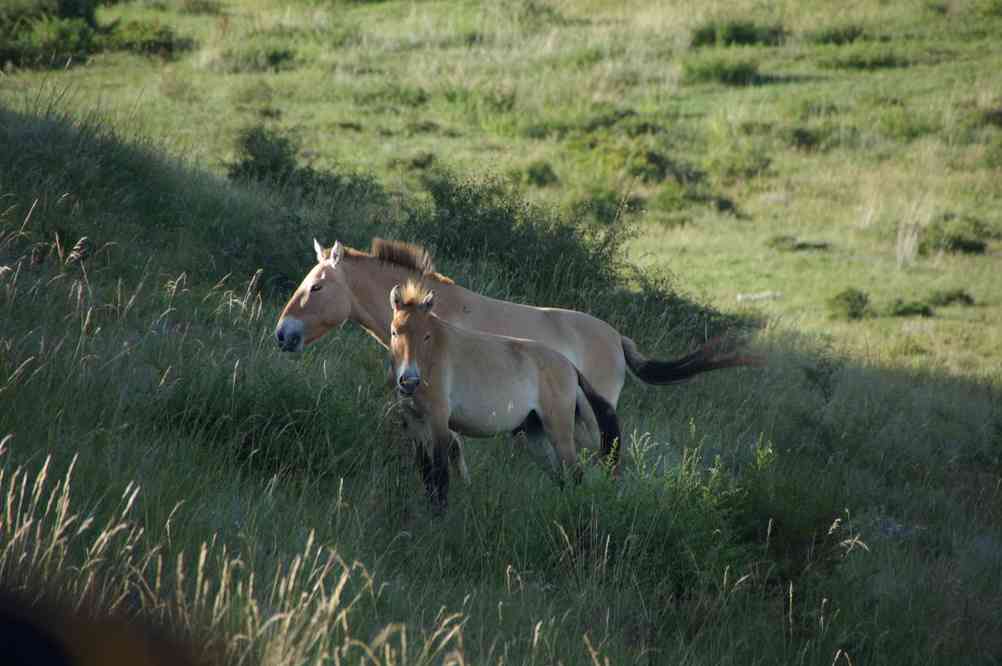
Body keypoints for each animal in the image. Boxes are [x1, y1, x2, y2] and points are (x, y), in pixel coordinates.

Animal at [384, 280, 613, 508]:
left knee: (575, 474)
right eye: (394, 332)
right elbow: (426, 474)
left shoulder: (438, 423)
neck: (431, 358)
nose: (409, 381)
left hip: (559, 433)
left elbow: (440, 478)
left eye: (426, 336)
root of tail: (571, 367)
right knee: (561, 478)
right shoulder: (414, 425)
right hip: (536, 435)